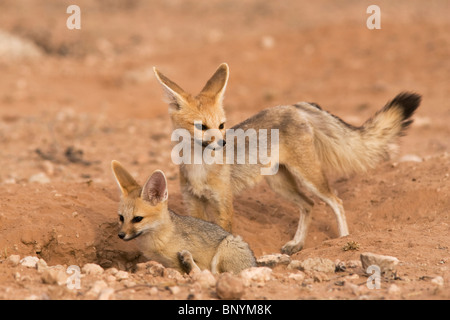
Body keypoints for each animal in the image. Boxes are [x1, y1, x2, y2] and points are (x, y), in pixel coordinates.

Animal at [153, 63, 420, 255]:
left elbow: (224, 235)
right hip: (279, 183)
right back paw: (297, 243)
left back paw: (344, 238)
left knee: (336, 201)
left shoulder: (224, 204)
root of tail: (294, 106)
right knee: (308, 204)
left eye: (221, 125)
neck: (198, 166)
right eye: (201, 126)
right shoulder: (193, 203)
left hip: (308, 177)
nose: (224, 143)